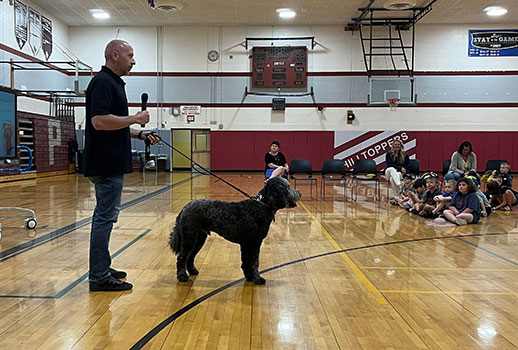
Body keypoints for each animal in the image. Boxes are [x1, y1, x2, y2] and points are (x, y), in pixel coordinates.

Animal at [169, 178, 302, 284]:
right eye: (288, 187)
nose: (299, 193)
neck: (262, 205)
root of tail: (186, 207)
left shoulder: (246, 244)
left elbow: (246, 262)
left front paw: (249, 277)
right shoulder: (254, 243)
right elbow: (254, 262)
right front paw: (257, 278)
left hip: (199, 238)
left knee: (190, 257)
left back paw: (192, 271)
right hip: (189, 237)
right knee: (182, 257)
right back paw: (182, 276)